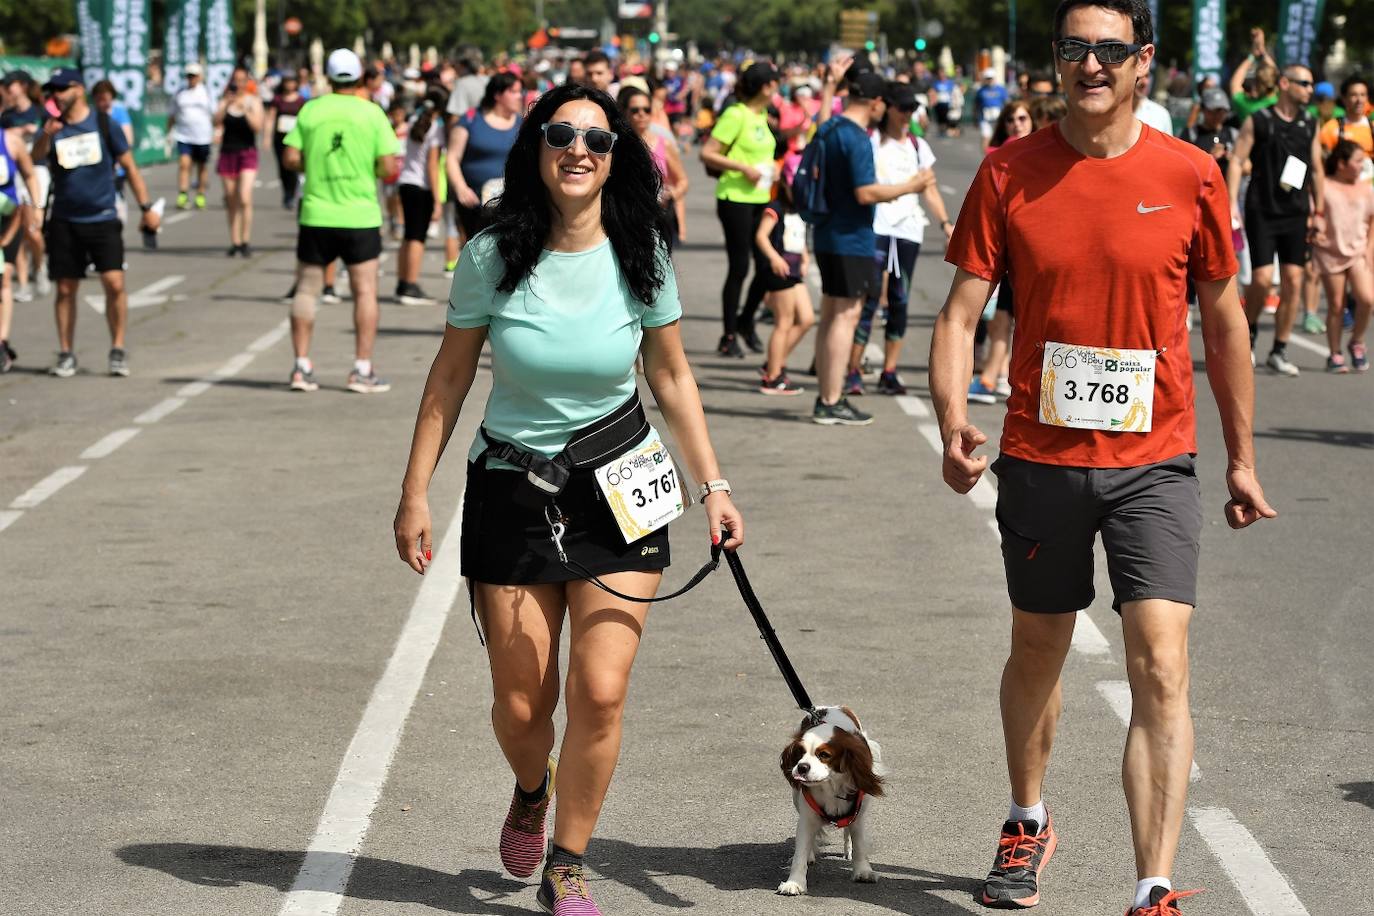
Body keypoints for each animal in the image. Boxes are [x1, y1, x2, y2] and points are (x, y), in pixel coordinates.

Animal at [780, 708, 884, 895]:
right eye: (800, 753)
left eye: (824, 755)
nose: (802, 767)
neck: (830, 785)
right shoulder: (807, 816)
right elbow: (801, 850)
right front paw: (795, 883)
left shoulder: (858, 815)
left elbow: (859, 844)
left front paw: (863, 871)